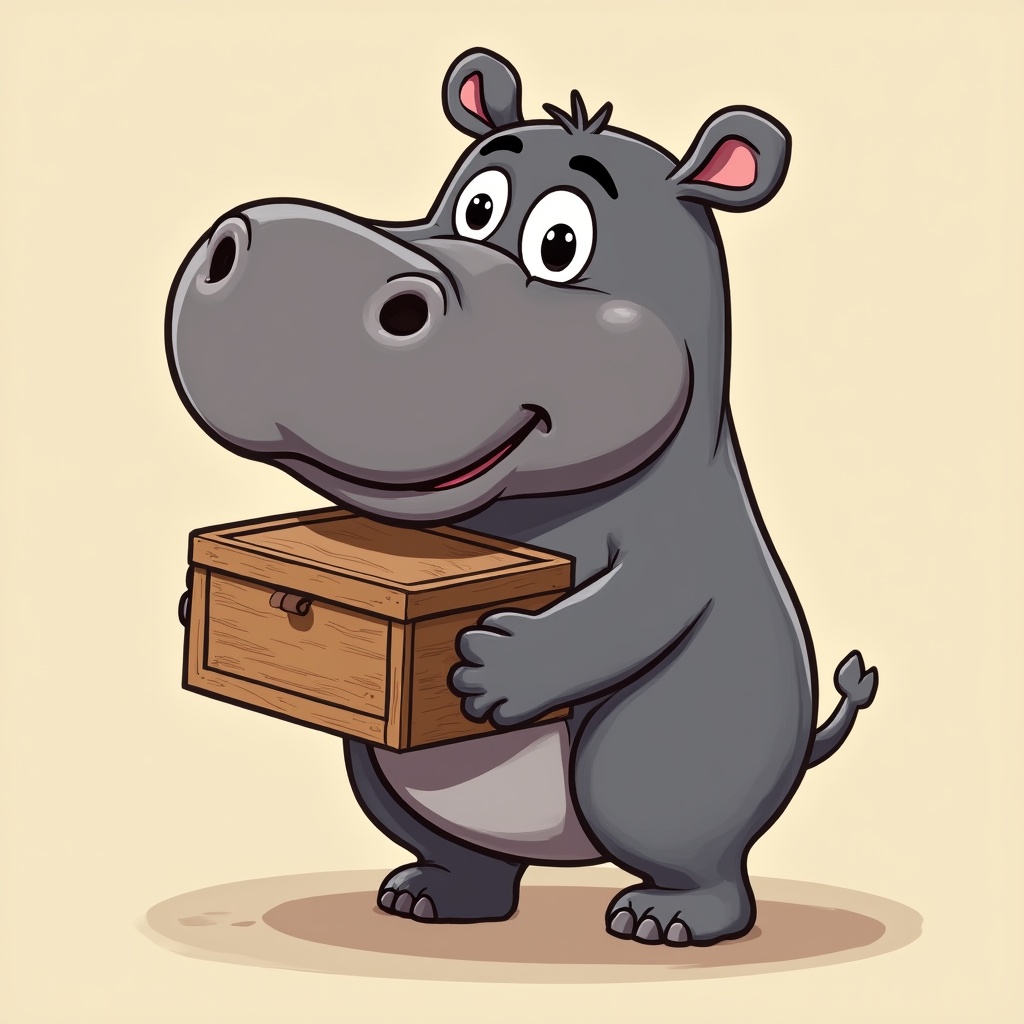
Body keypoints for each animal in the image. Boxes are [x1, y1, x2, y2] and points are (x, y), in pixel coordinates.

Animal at [165, 48, 878, 948]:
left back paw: (667, 919)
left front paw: (493, 666)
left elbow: (636, 606)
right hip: (385, 775)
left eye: (560, 243)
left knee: (681, 828)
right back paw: (431, 897)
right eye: (475, 205)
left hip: (673, 758)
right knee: (453, 841)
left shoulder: (682, 548)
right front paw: (191, 602)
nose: (278, 249)